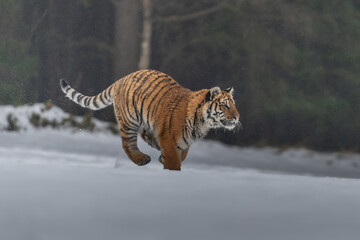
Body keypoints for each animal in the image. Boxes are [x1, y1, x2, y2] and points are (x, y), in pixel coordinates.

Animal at [59, 69, 242, 171]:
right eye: (225, 105)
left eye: (234, 104)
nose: (237, 116)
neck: (203, 122)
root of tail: (122, 79)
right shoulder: (168, 138)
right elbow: (175, 161)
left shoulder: (182, 142)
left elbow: (182, 155)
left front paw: (164, 158)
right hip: (129, 120)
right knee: (127, 144)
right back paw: (142, 159)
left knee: (144, 134)